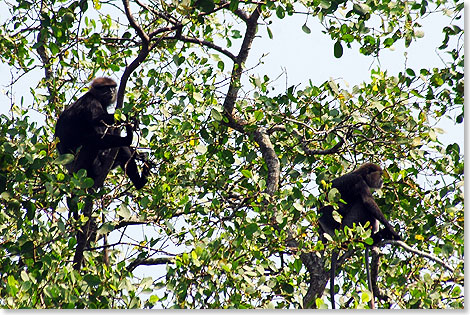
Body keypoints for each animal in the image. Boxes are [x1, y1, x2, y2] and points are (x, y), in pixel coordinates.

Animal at [316, 163, 400, 308]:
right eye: (380, 175)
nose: (382, 181)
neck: (360, 174)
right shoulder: (359, 182)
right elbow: (367, 202)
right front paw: (392, 231)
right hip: (348, 225)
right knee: (361, 204)